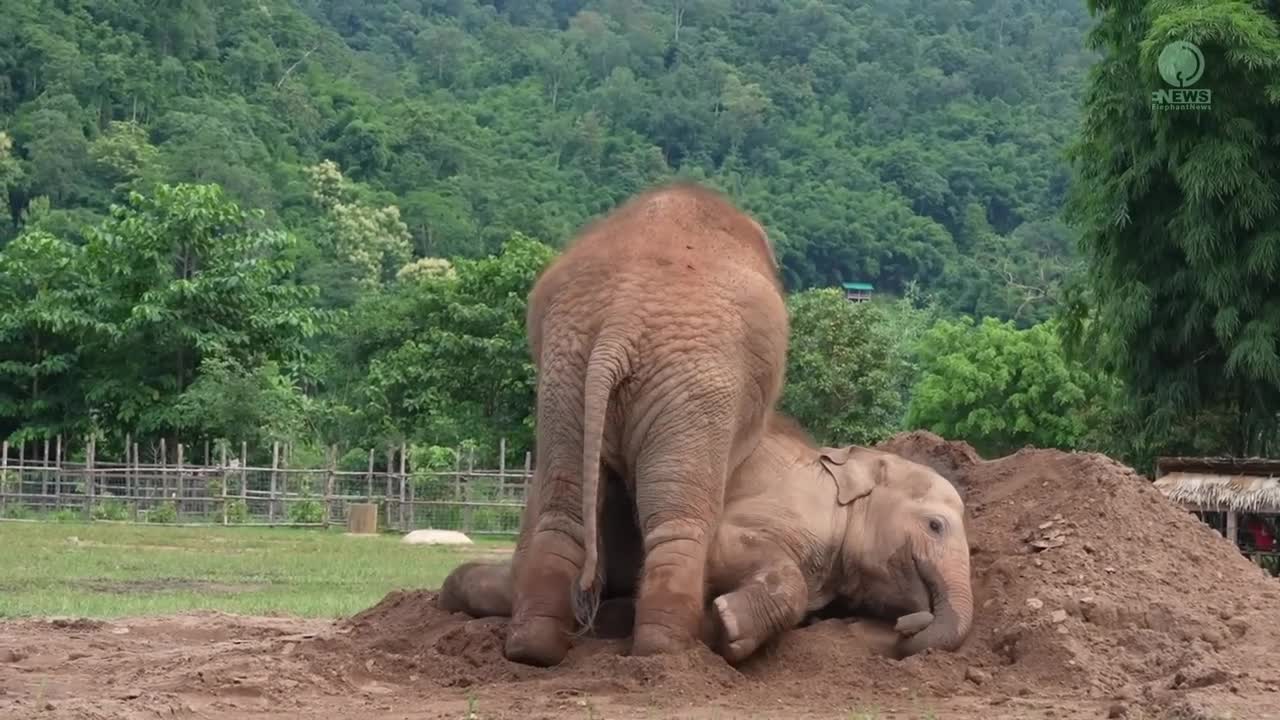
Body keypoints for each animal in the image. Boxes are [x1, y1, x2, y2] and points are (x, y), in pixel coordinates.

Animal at [501, 181, 788, 666]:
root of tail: (620, 321)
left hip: (565, 372)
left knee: (563, 510)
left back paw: (532, 649)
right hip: (693, 382)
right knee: (678, 519)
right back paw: (668, 654)